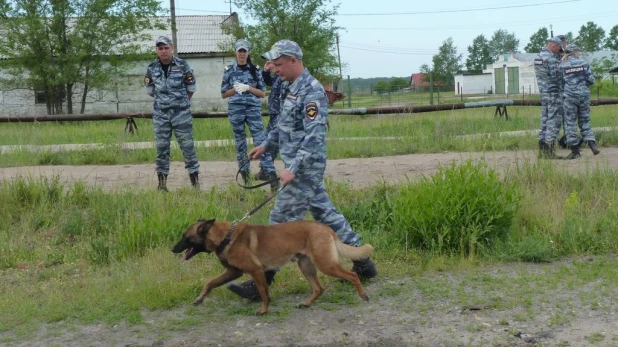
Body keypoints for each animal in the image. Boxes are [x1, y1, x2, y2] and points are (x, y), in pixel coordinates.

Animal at [168, 220, 370, 316]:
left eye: (185, 237)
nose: (172, 249)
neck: (226, 236)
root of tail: (326, 228)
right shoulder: (233, 272)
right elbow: (210, 283)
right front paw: (199, 299)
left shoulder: (256, 271)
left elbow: (264, 293)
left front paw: (264, 310)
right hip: (305, 266)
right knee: (318, 288)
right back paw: (306, 303)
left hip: (325, 264)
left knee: (352, 275)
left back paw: (363, 295)